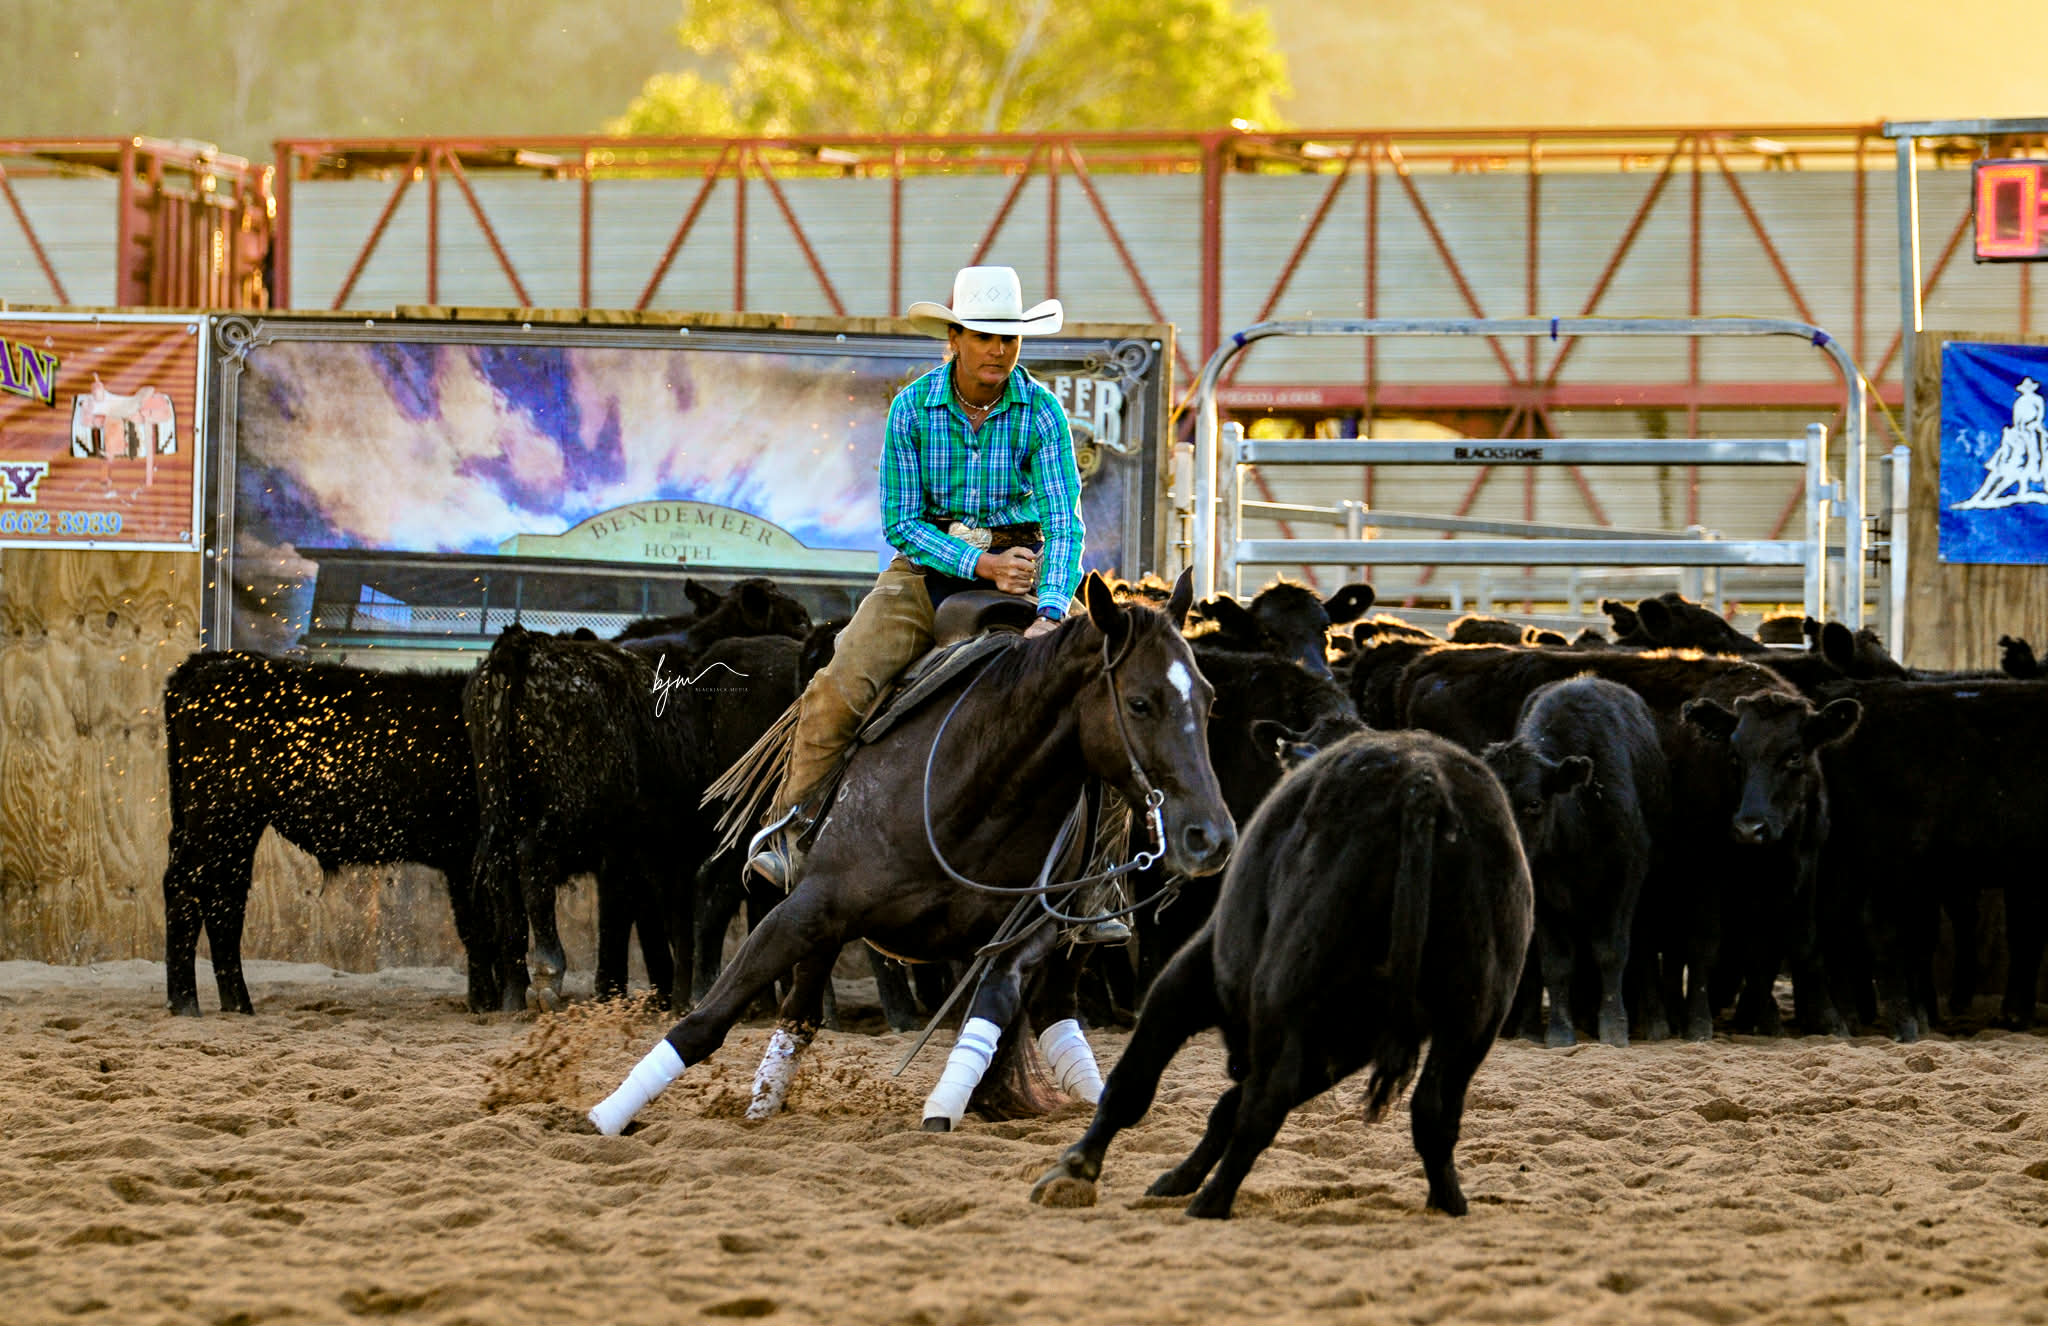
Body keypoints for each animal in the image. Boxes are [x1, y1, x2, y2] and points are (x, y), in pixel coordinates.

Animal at [159, 652, 505, 1016]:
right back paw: (186, 1003)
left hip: (229, 826)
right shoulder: (467, 856)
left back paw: (237, 1005)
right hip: (220, 815)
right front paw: (486, 1002)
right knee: (187, 887)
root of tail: (210, 661)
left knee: (223, 898)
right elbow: (480, 929)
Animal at [588, 570, 1236, 1135]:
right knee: (799, 1010)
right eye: (1140, 703)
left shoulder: (1032, 928)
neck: (975, 787)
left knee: (1056, 1008)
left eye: (1208, 699)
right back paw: (761, 1102)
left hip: (1076, 934)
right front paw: (605, 1116)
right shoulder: (809, 908)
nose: (1213, 835)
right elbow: (708, 1020)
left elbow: (994, 1002)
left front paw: (946, 1104)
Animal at [1031, 728, 1531, 1219]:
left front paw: (1076, 1167)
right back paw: (1448, 1202)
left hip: (1288, 995)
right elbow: (1227, 1107)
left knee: (1264, 1105)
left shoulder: (1192, 978)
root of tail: (1422, 785)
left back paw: (1210, 1203)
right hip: (1471, 1019)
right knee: (1434, 1110)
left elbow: (1134, 1084)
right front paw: (1177, 1177)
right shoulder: (1339, 1047)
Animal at [1483, 677, 1670, 1047]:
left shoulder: (1624, 876)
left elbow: (1611, 951)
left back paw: (1655, 1022)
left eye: (1534, 804)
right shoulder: (1541, 889)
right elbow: (1556, 962)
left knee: (1643, 945)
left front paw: (1613, 1028)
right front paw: (1559, 1031)